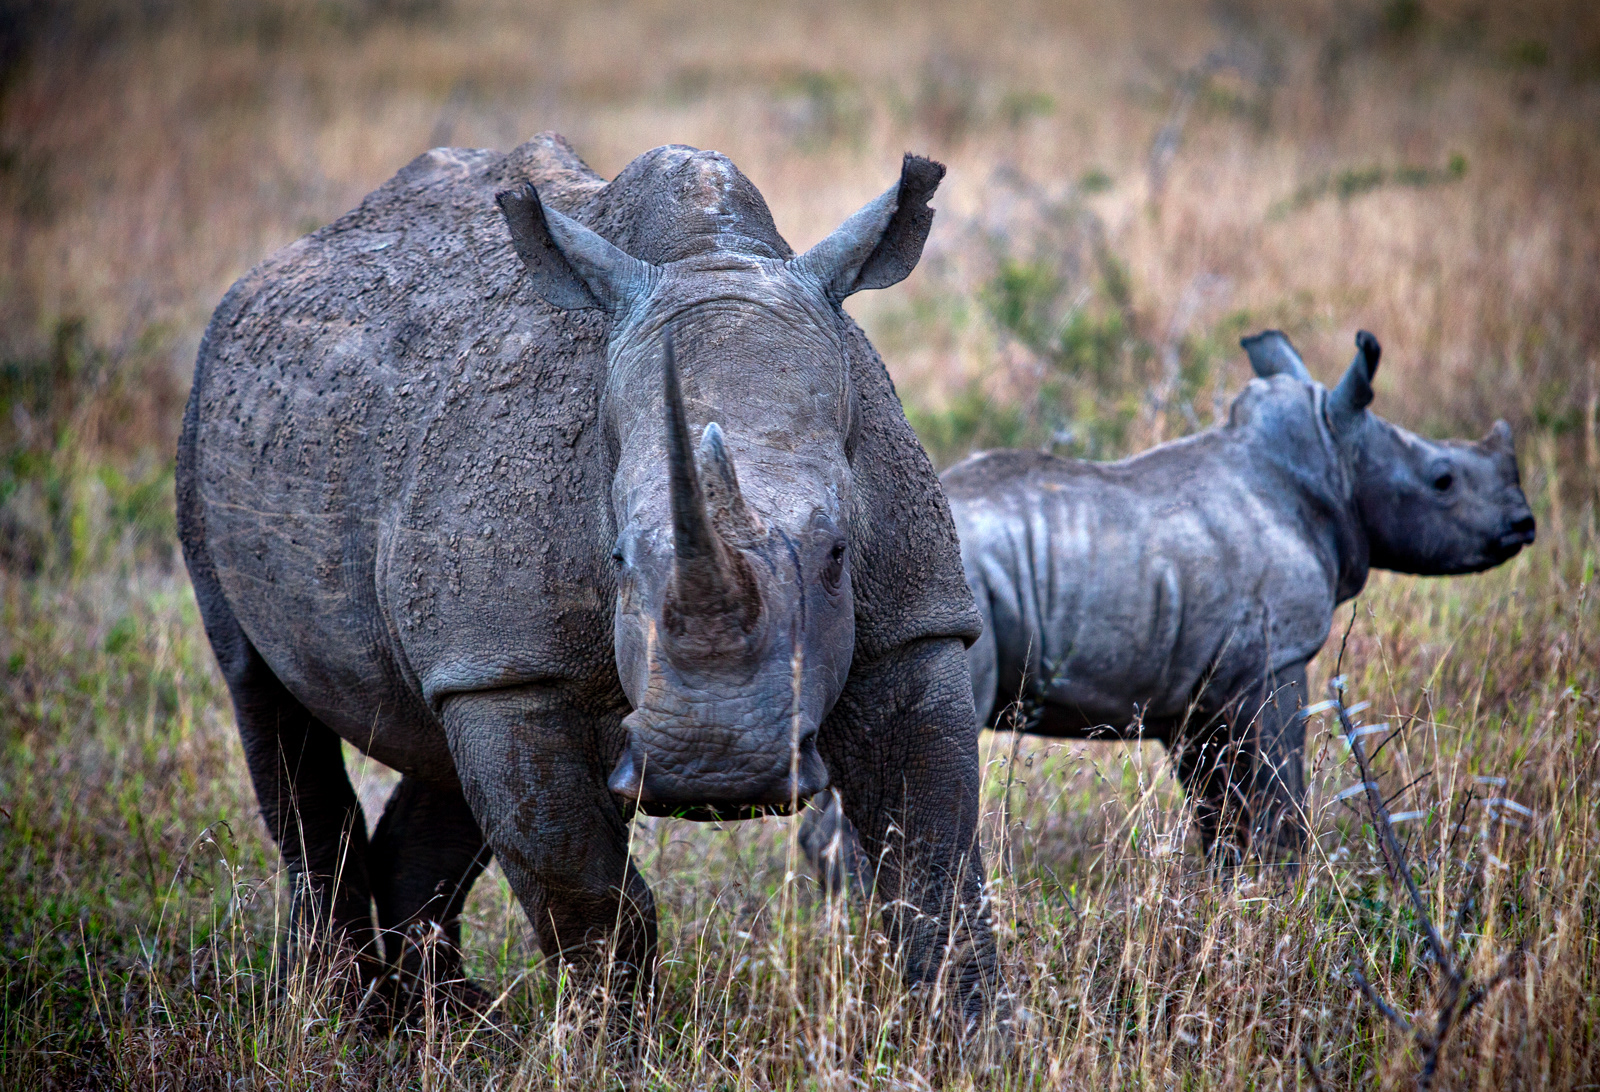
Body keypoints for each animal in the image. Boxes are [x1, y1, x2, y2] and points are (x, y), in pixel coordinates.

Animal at [176, 133, 1000, 1024]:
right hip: (209, 416)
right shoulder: (511, 671)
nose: (719, 768)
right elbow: (590, 897)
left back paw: (453, 1024)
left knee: (435, 750)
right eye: (618, 560)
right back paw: (349, 1016)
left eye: (840, 553)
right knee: (263, 699)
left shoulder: (912, 628)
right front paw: (615, 1040)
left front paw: (979, 1037)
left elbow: (934, 869)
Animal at [804, 329, 1535, 876]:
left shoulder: (1198, 695)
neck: (1330, 458)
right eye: (1443, 481)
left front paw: (1234, 893)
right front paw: (1287, 892)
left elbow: (1222, 813)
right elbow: (1279, 801)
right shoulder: (1272, 661)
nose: (1524, 525)